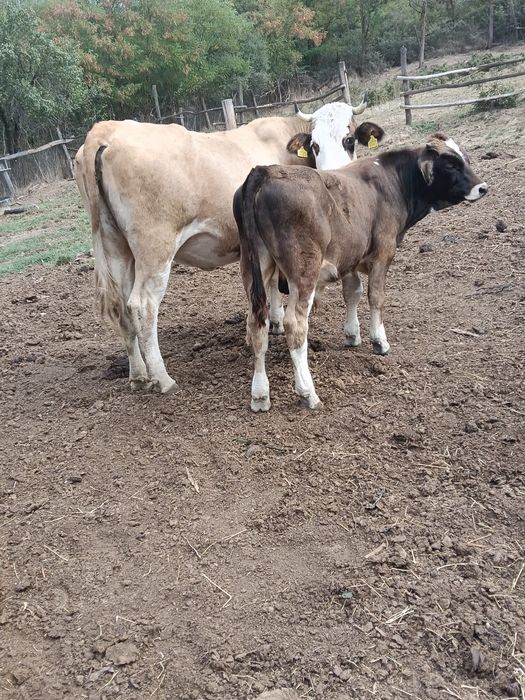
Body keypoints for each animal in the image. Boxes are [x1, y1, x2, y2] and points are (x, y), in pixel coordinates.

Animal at [75, 100, 384, 393]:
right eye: (315, 145)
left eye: (349, 139)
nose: (334, 176)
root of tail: (106, 131)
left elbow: (270, 286)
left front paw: (272, 322)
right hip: (155, 250)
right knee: (142, 306)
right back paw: (163, 379)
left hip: (116, 248)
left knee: (122, 308)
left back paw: (138, 376)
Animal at [234, 133, 488, 412]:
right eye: (451, 164)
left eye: (464, 158)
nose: (482, 188)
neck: (393, 180)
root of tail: (264, 172)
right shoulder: (383, 253)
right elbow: (375, 298)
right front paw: (379, 341)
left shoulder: (350, 258)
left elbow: (352, 293)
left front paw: (352, 334)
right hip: (303, 272)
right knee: (295, 325)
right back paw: (307, 393)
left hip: (254, 266)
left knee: (257, 323)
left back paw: (260, 394)